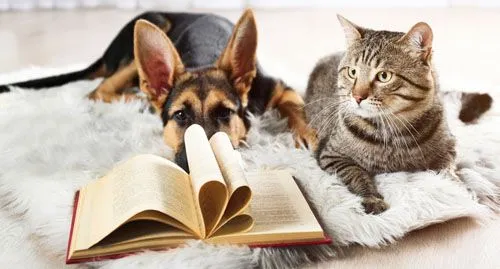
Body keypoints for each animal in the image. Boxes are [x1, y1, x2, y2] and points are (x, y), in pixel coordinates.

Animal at [0, 9, 318, 170]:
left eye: (225, 113)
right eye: (180, 116)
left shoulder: (279, 89)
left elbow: (297, 106)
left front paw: (308, 134)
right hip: (150, 31)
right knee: (99, 90)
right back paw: (137, 98)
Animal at [304, 16, 492, 214]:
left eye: (384, 76)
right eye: (352, 72)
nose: (357, 96)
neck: (392, 132)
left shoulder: (448, 148)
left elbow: (447, 170)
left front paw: (459, 189)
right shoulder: (331, 155)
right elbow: (356, 174)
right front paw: (372, 198)